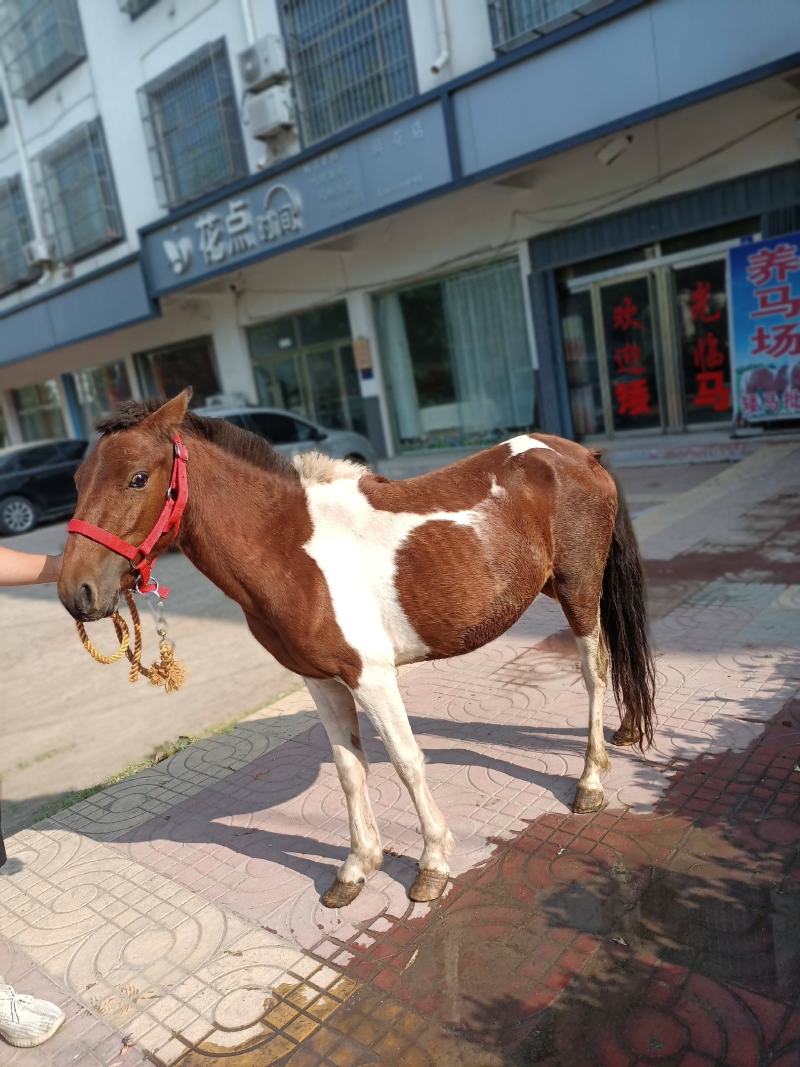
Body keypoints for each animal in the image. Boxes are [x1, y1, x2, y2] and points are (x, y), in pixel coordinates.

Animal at [58, 389, 656, 907]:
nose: (76, 593)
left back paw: (590, 781)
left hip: (579, 589)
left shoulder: (373, 677)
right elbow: (349, 767)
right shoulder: (321, 681)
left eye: (138, 478)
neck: (290, 549)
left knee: (594, 670)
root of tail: (578, 454)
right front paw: (356, 867)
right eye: (78, 480)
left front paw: (432, 864)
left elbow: (406, 761)